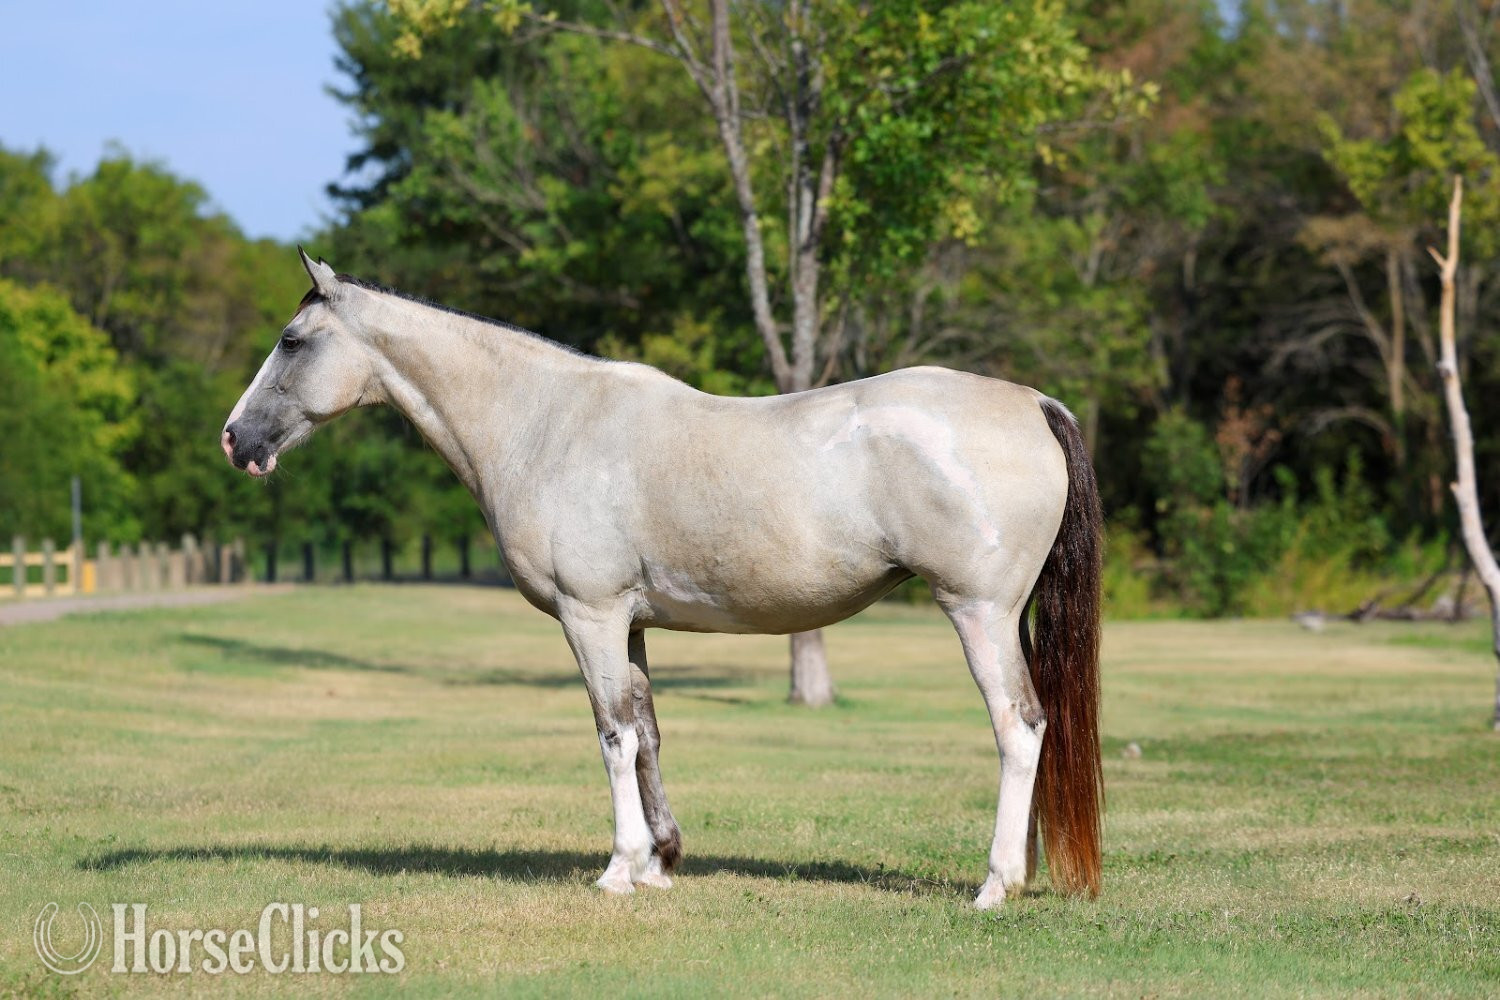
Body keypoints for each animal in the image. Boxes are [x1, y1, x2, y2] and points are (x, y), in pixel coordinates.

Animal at [221, 249, 1104, 908]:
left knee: (1019, 726)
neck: (546, 422)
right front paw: (660, 859)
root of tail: (1033, 402)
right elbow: (645, 732)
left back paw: (996, 883)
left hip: (978, 612)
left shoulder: (591, 616)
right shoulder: (633, 623)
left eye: (292, 340)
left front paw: (620, 868)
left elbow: (610, 733)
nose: (235, 439)